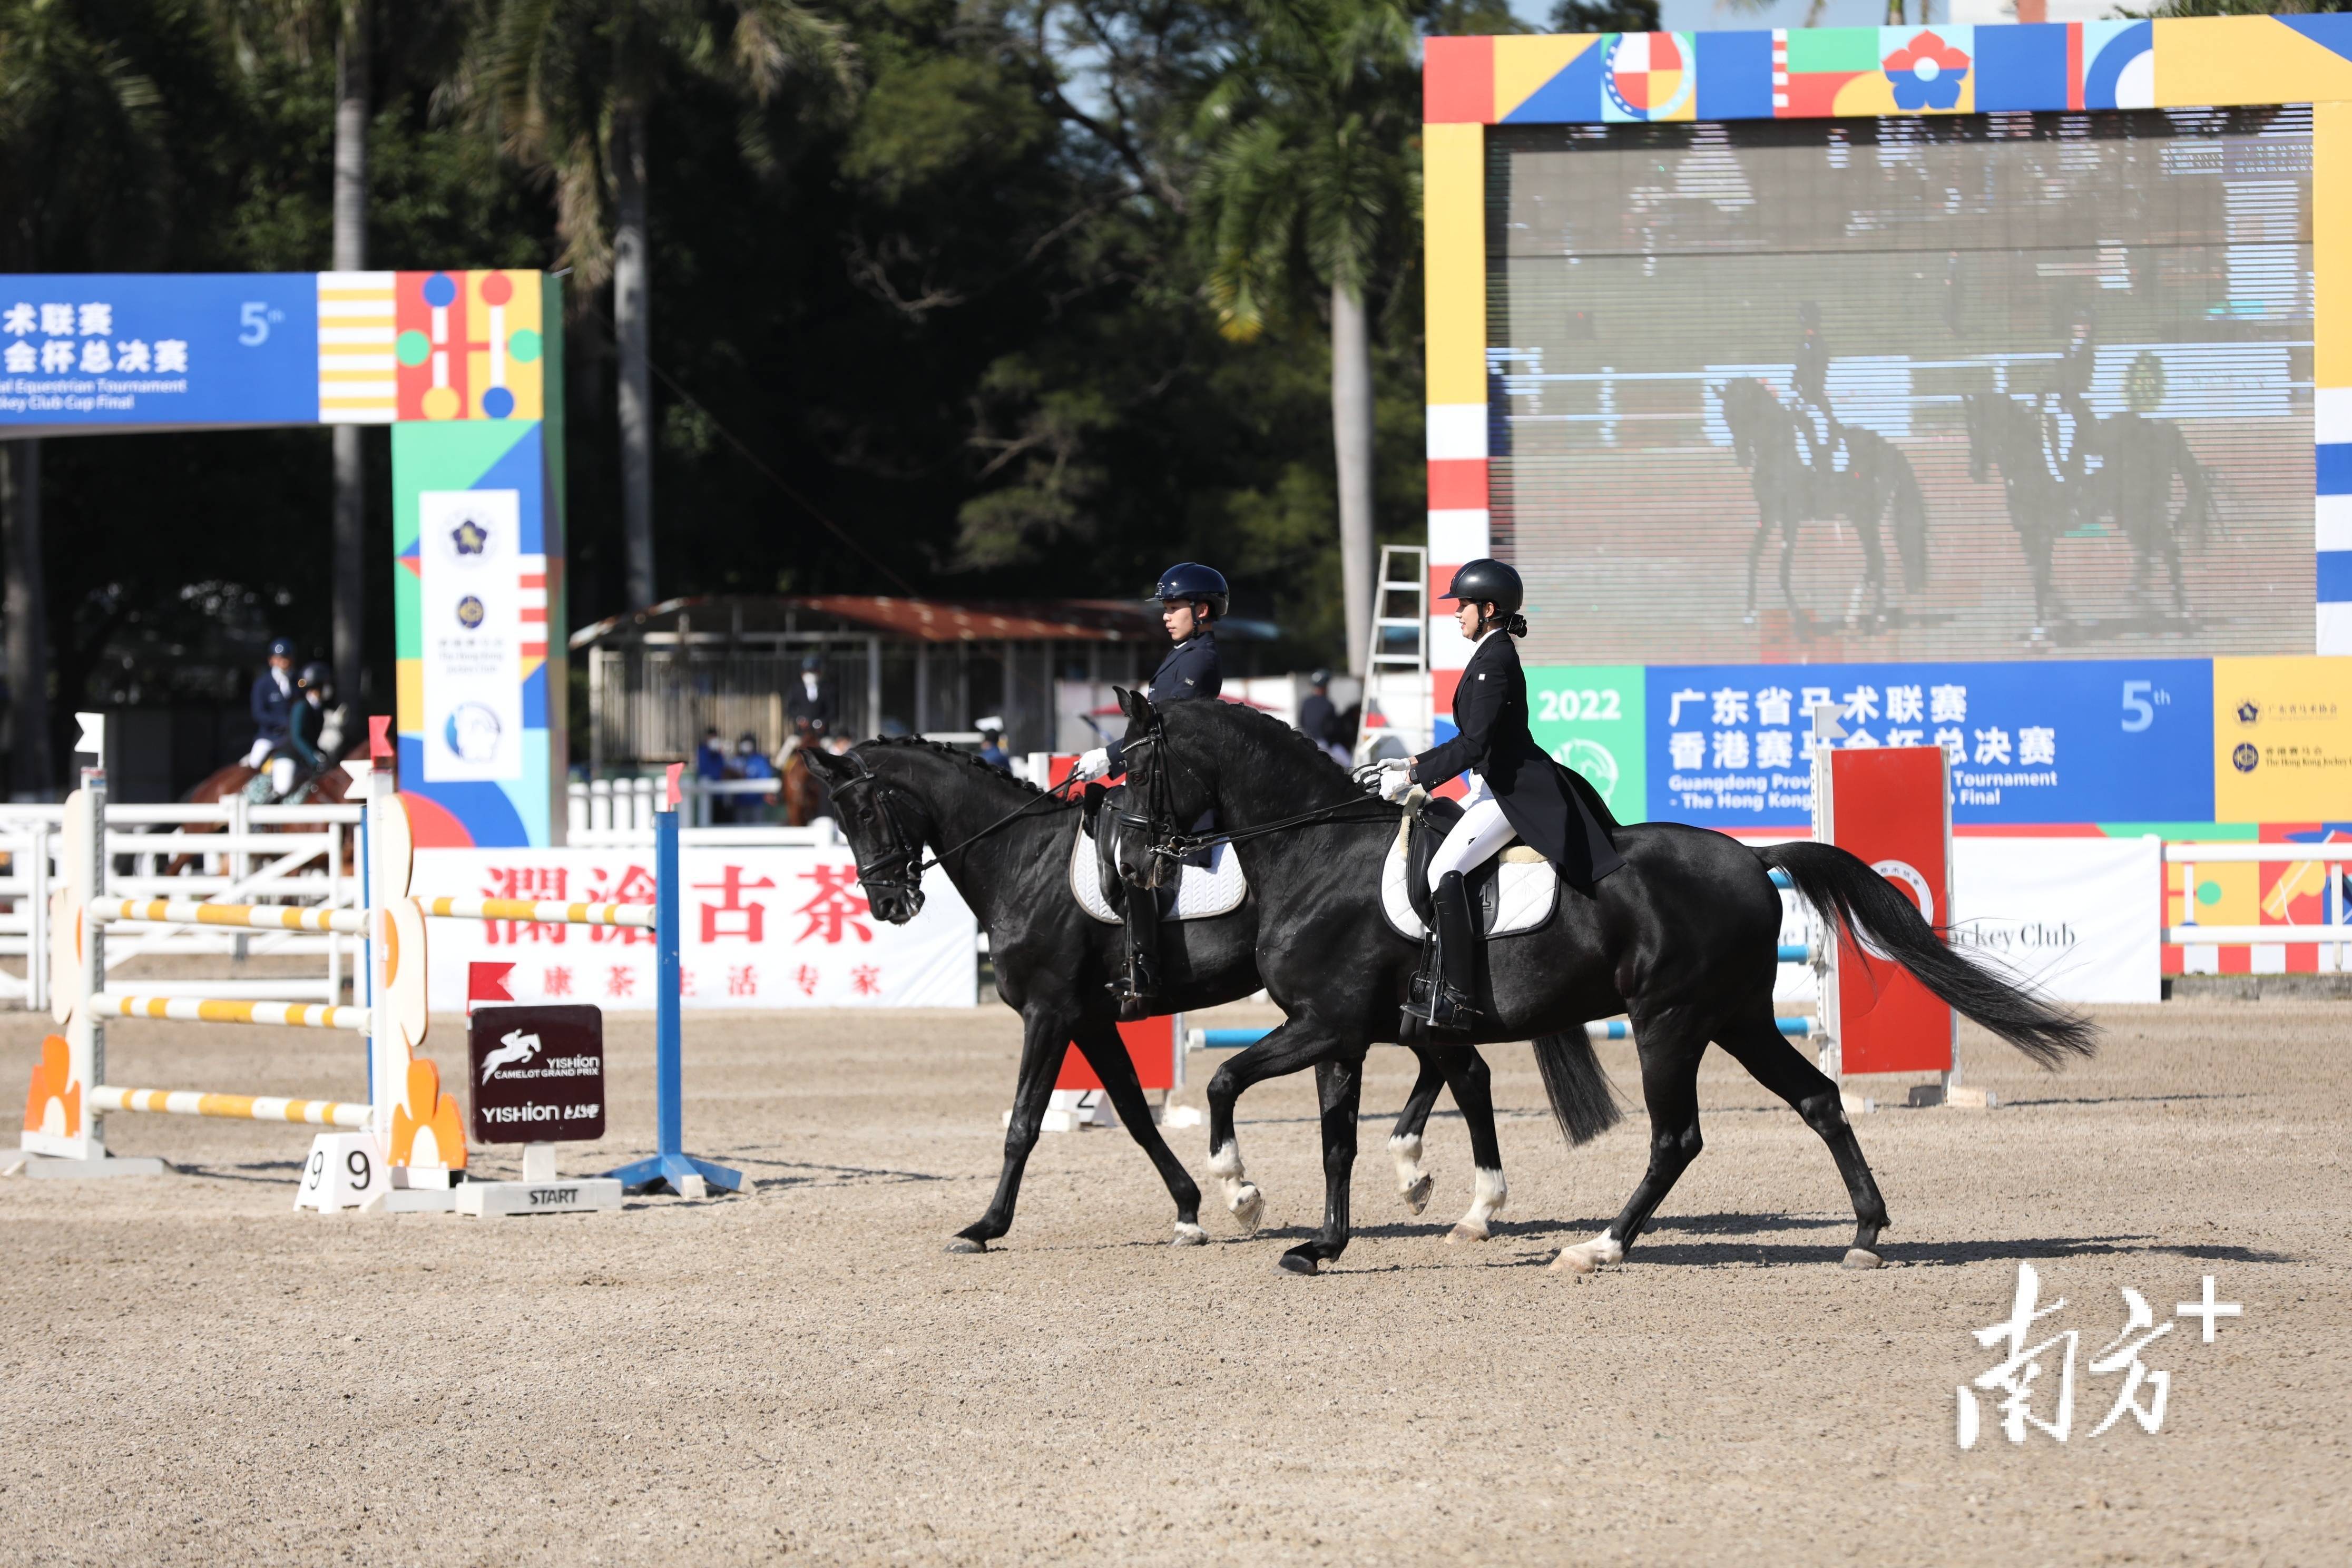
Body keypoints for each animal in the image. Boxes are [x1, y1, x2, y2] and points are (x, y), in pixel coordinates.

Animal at [799, 742, 1514, 1260]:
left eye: (865, 813)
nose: (889, 904)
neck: (1023, 860)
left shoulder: (1048, 1012)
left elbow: (1024, 1124)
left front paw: (984, 1226)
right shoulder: (1088, 1019)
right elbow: (1135, 1114)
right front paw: (1191, 1210)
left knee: (1455, 1065)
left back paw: (1427, 1178)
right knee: (1448, 1063)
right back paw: (1416, 1176)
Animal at [1101, 695, 2098, 1279]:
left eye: (1133, 765)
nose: (1128, 868)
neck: (1317, 854)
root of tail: (1751, 856)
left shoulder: (1324, 1024)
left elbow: (1225, 1083)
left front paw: (1240, 1196)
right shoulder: (1339, 1032)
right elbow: (1337, 1142)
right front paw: (1323, 1244)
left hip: (1668, 1022)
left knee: (1676, 1137)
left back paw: (1600, 1246)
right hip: (1736, 1017)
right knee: (1818, 1099)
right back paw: (1861, 1236)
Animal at [1721, 376, 1919, 630]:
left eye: (1746, 414)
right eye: (1727, 417)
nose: (1743, 458)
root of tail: (1890, 448)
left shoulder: (1791, 516)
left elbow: (1783, 569)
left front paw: (1798, 618)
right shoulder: (1769, 515)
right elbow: (1753, 556)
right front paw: (1749, 614)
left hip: (1865, 516)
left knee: (1878, 560)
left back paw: (1876, 617)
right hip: (1859, 516)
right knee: (1874, 561)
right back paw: (1856, 616)